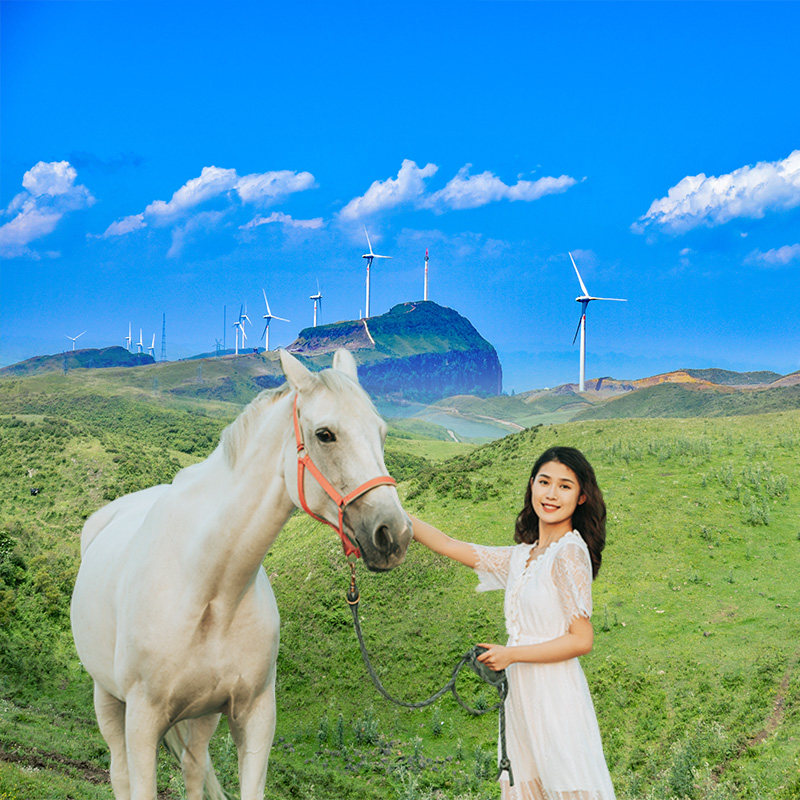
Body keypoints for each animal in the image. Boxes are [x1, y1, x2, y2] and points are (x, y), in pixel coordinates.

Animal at [70, 349, 412, 800]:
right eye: (325, 435)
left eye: (382, 433)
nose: (395, 534)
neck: (211, 587)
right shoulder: (141, 721)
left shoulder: (255, 716)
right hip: (108, 701)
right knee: (119, 772)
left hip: (201, 716)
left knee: (194, 769)